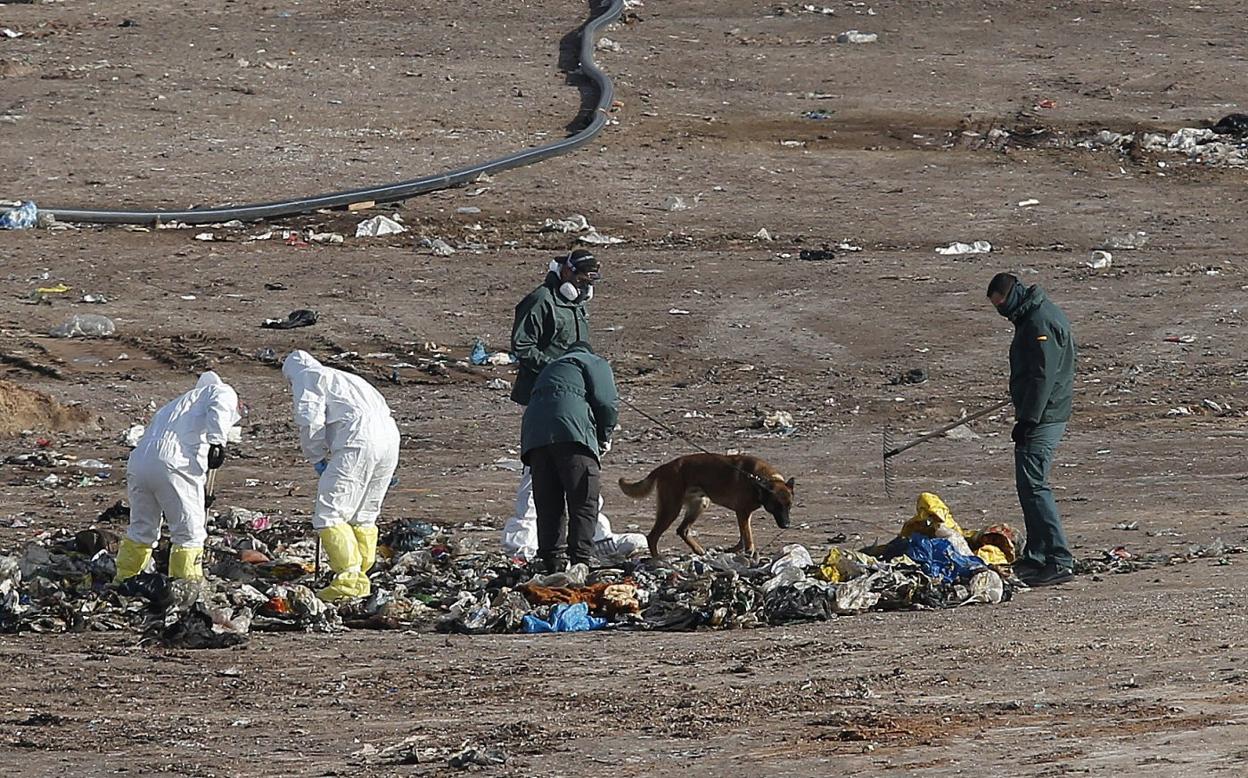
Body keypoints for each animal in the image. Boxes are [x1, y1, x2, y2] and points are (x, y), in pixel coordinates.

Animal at [616, 454, 793, 556]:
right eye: (776, 506)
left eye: (789, 506)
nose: (786, 525)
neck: (760, 480)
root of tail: (663, 467)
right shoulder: (742, 512)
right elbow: (747, 536)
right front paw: (749, 551)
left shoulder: (742, 514)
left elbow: (743, 535)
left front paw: (735, 550)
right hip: (671, 509)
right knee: (652, 536)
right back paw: (658, 560)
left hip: (700, 504)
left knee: (682, 530)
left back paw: (698, 550)